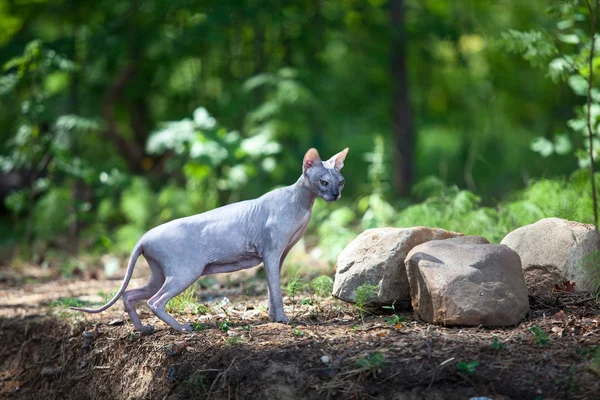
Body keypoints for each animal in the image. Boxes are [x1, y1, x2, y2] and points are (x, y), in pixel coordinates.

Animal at [71, 148, 350, 332]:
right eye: (323, 182)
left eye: (341, 182)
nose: (336, 195)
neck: (302, 206)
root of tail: (143, 238)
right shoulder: (271, 253)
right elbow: (276, 289)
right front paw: (281, 319)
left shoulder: (278, 256)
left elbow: (272, 289)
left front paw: (272, 316)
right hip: (186, 271)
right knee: (154, 301)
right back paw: (182, 328)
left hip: (160, 273)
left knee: (130, 295)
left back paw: (144, 330)